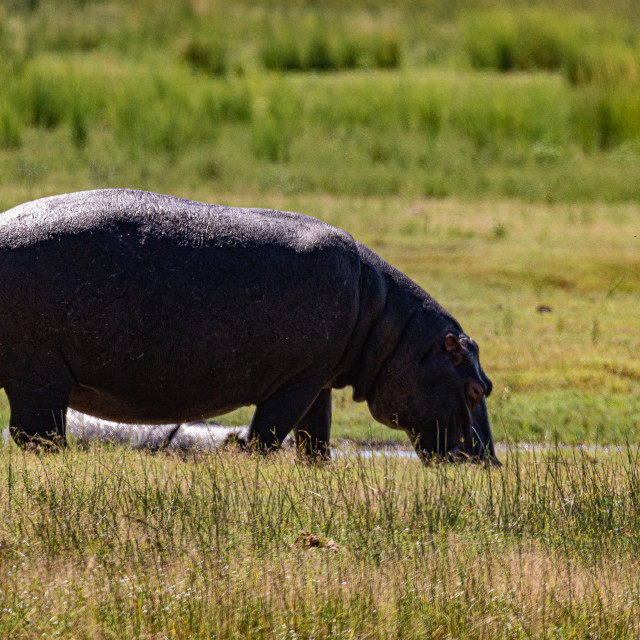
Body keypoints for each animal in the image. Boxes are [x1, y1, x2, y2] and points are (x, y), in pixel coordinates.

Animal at [0, 188, 498, 462]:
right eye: (476, 390)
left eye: (489, 385)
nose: (490, 463)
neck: (392, 330)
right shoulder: (297, 379)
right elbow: (268, 435)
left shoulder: (319, 378)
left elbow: (316, 438)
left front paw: (319, 471)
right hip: (40, 377)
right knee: (38, 436)